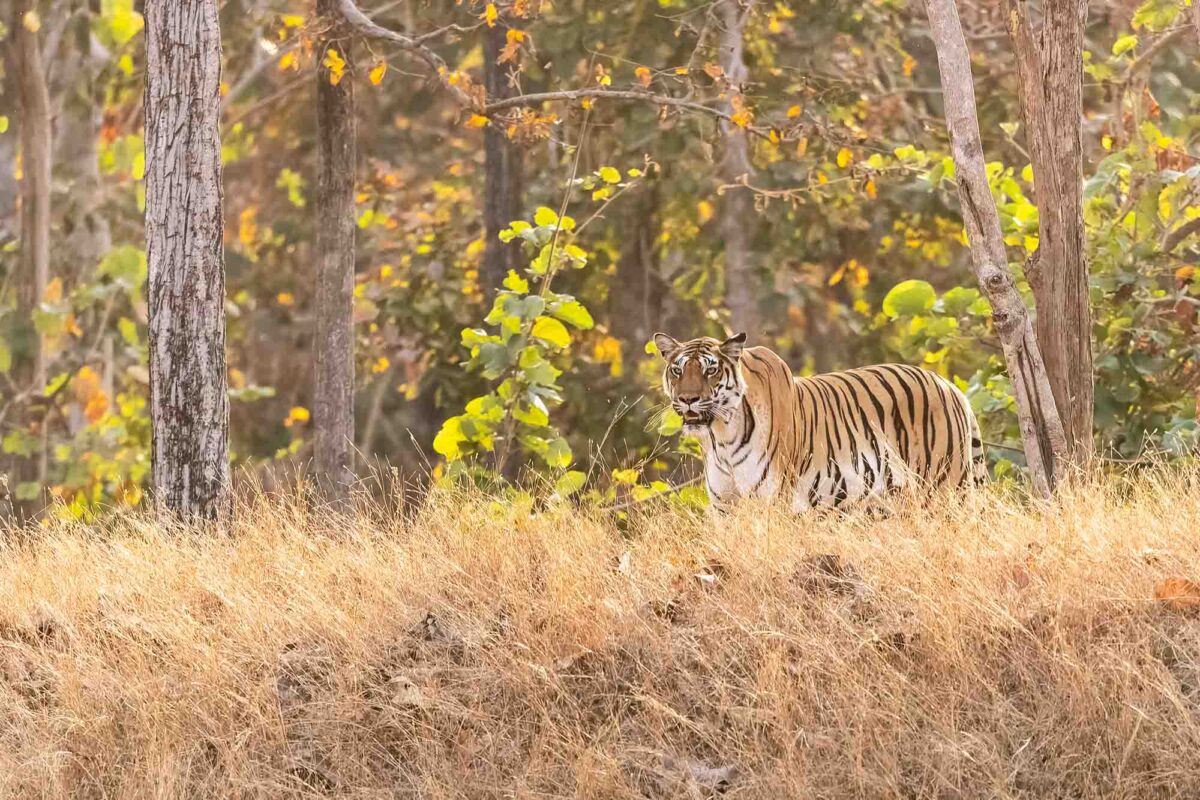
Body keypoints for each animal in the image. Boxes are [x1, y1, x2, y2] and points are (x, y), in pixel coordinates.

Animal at [653, 332, 986, 511]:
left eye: (710, 370)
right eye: (677, 371)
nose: (688, 399)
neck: (721, 437)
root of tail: (950, 385)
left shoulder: (771, 499)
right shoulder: (724, 505)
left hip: (944, 488)